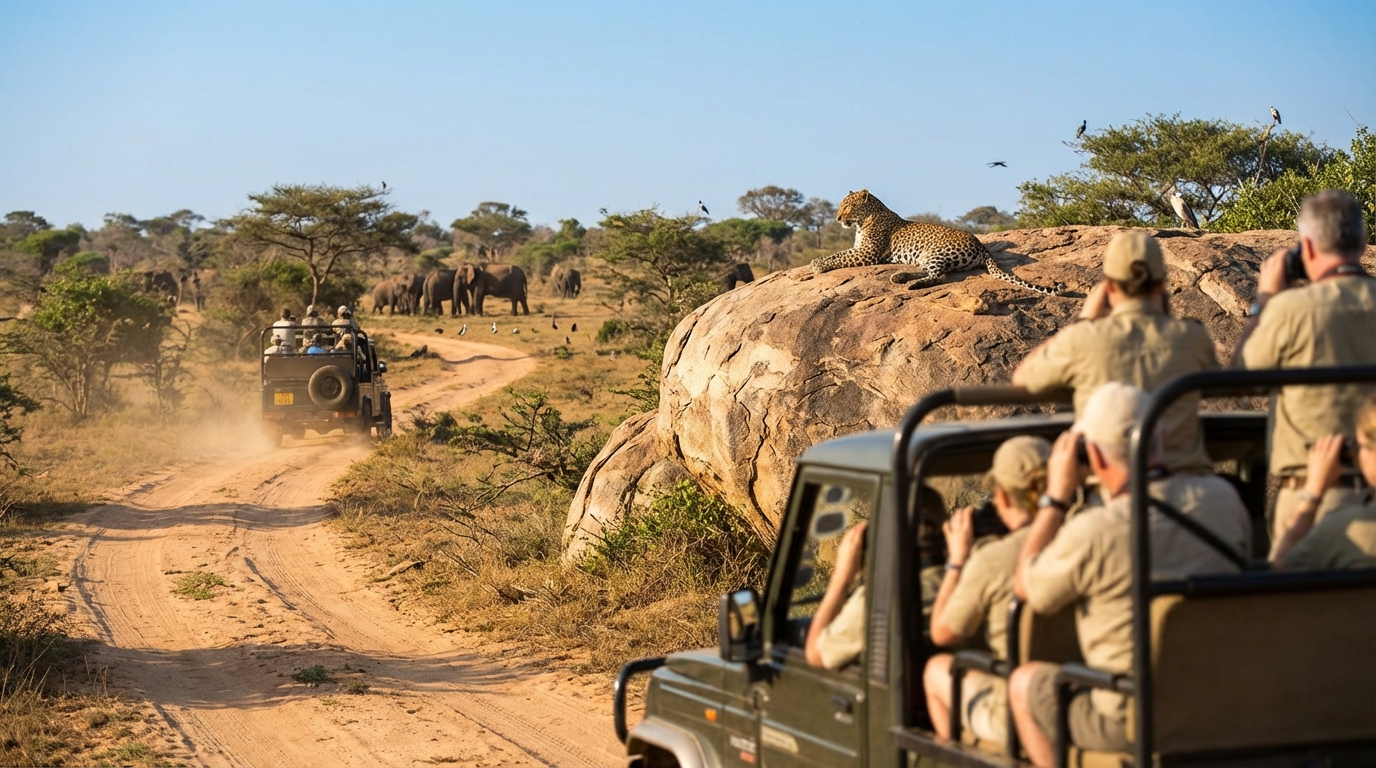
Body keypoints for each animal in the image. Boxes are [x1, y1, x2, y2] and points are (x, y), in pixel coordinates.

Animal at [809, 189, 1066, 296]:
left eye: (847, 206)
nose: (837, 218)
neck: (864, 220)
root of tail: (982, 246)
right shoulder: (858, 249)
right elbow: (837, 254)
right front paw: (816, 262)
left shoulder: (866, 253)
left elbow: (838, 258)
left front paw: (818, 265)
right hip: (925, 256)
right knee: (931, 272)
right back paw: (900, 276)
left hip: (936, 252)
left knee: (939, 276)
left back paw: (911, 285)